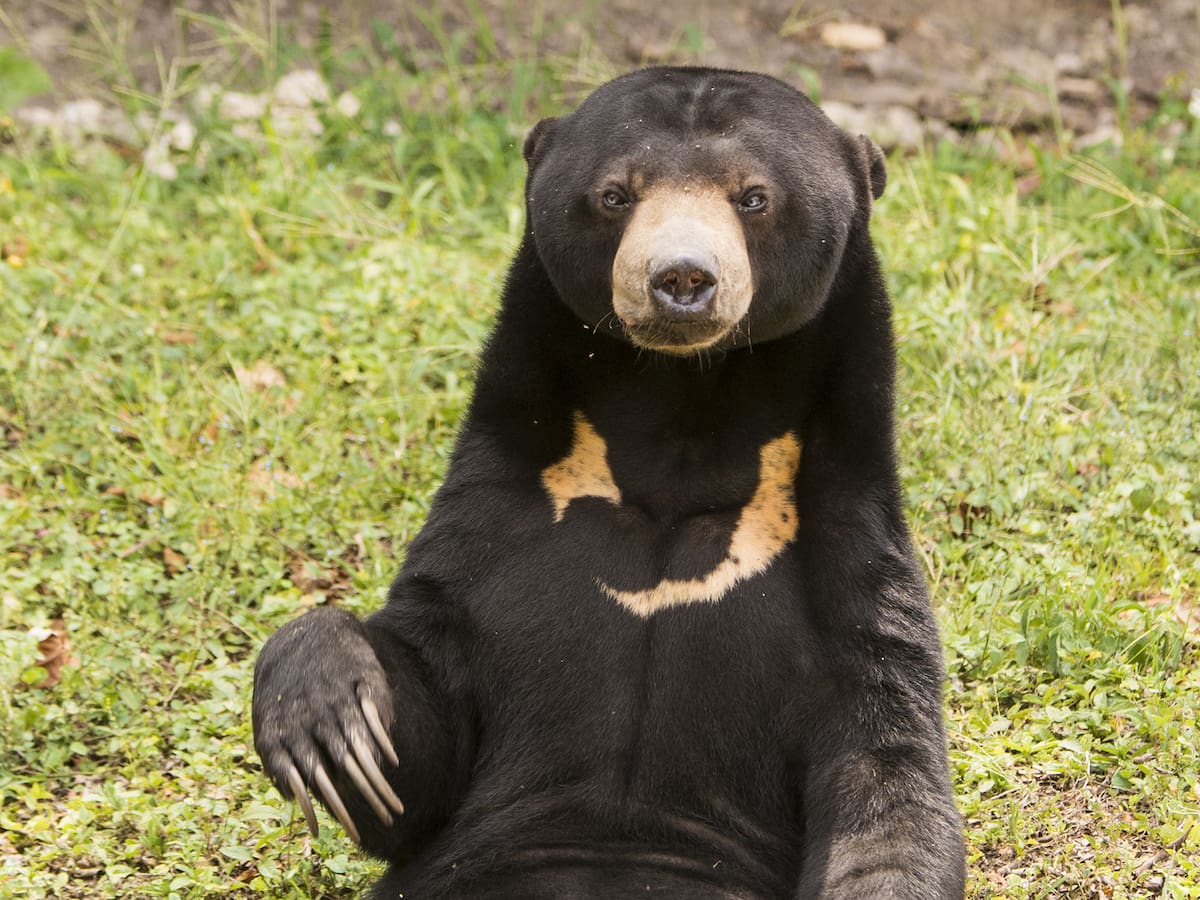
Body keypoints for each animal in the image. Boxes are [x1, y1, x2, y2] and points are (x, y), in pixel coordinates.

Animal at [252, 66, 966, 899]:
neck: (681, 419)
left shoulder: (843, 553)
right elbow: (414, 754)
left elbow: (886, 766)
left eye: (753, 197)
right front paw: (326, 717)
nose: (682, 278)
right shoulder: (502, 518)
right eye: (616, 195)